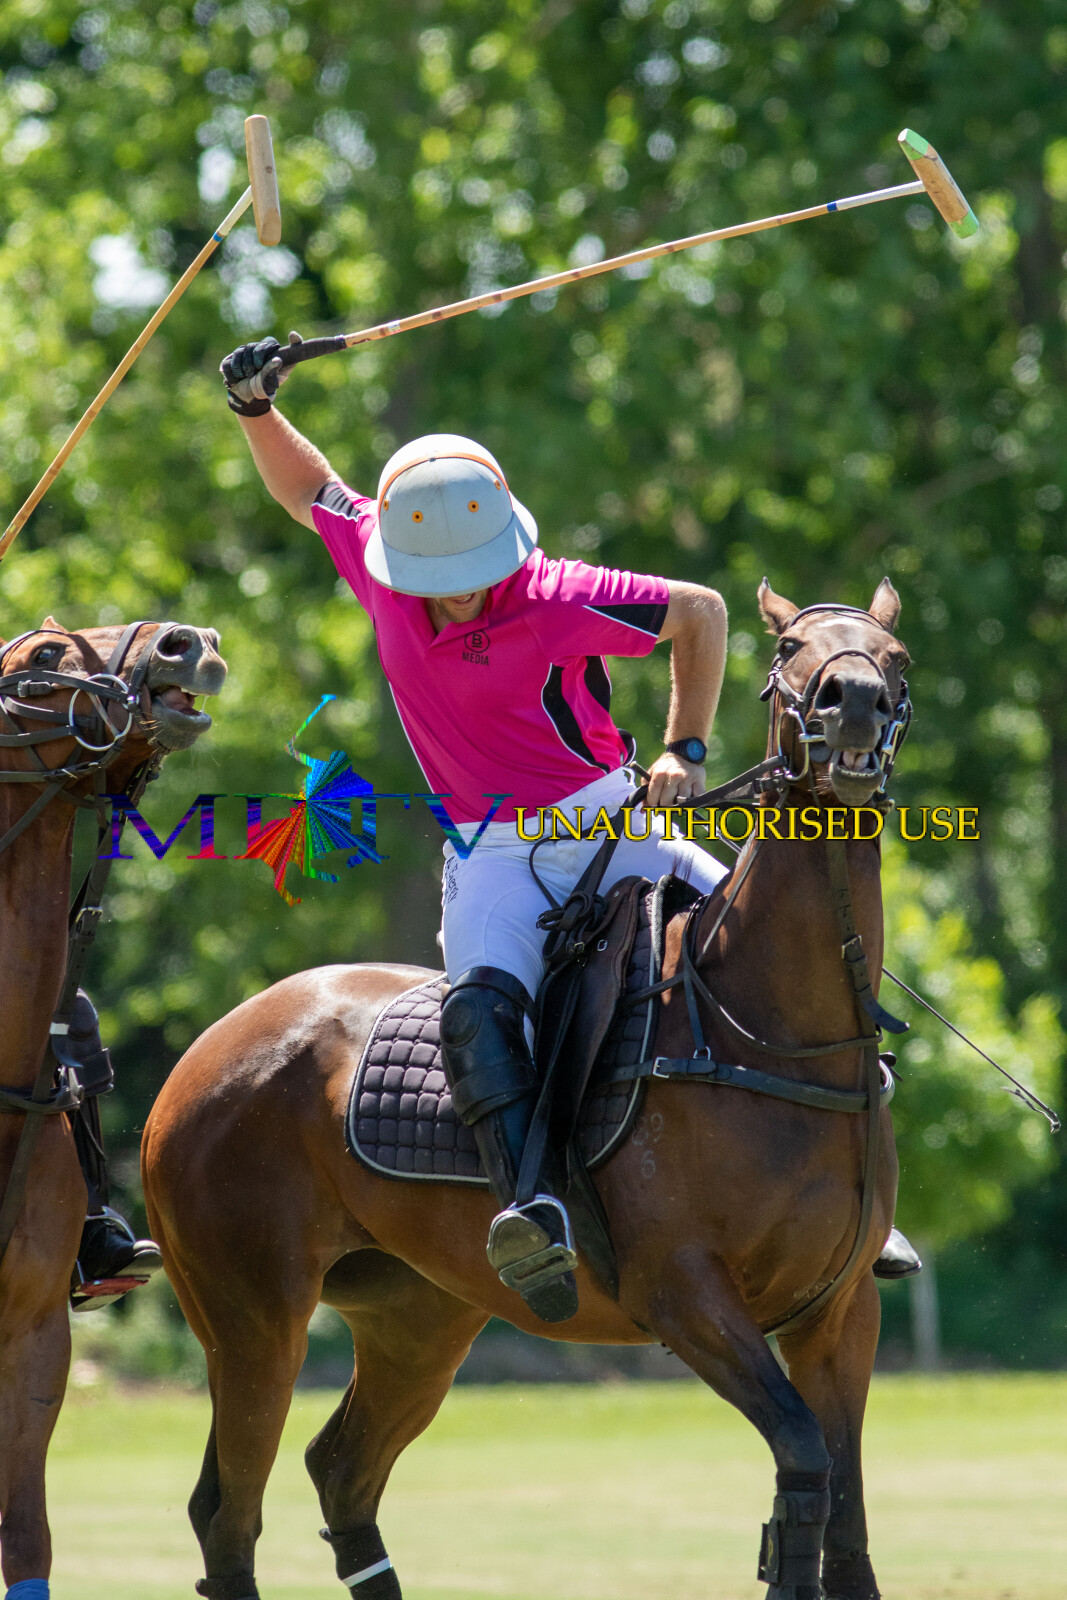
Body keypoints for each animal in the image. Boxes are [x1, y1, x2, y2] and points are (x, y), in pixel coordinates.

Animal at [142, 578, 910, 1600]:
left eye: (896, 655)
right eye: (788, 650)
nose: (853, 701)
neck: (773, 1029)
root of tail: (200, 1054)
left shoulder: (841, 1310)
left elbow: (847, 1515)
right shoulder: (684, 1293)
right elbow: (803, 1471)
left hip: (416, 1315)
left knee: (341, 1471)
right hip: (251, 1316)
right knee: (230, 1514)